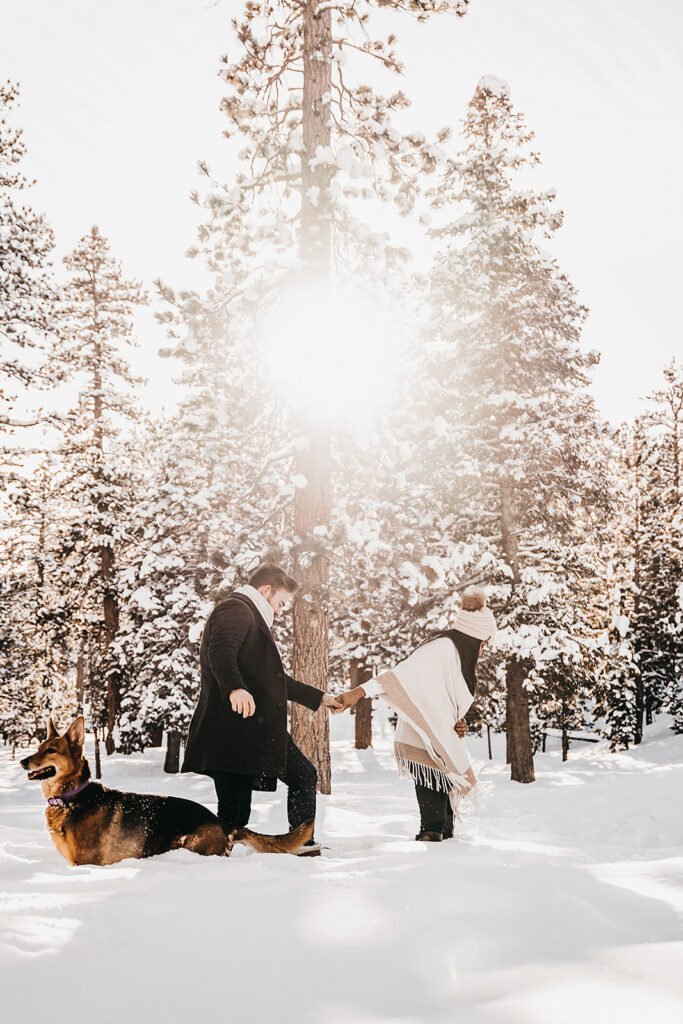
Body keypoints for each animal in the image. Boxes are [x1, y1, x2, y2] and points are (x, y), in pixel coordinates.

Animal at [20, 716, 315, 868]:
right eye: (38, 747)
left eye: (51, 750)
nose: (23, 761)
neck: (73, 797)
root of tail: (221, 822)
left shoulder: (86, 863)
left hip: (185, 843)